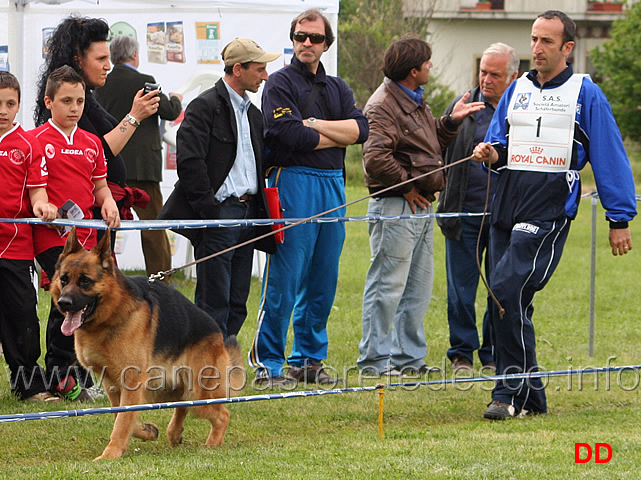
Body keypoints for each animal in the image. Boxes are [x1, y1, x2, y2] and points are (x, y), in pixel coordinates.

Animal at [50, 229, 244, 462]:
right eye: (64, 279)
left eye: (85, 281)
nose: (64, 303)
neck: (113, 312)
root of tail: (218, 334)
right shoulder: (112, 384)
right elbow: (119, 415)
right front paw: (146, 431)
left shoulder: (132, 382)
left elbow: (122, 420)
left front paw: (111, 454)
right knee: (182, 406)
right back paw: (174, 433)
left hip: (198, 393)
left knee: (222, 414)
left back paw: (212, 443)